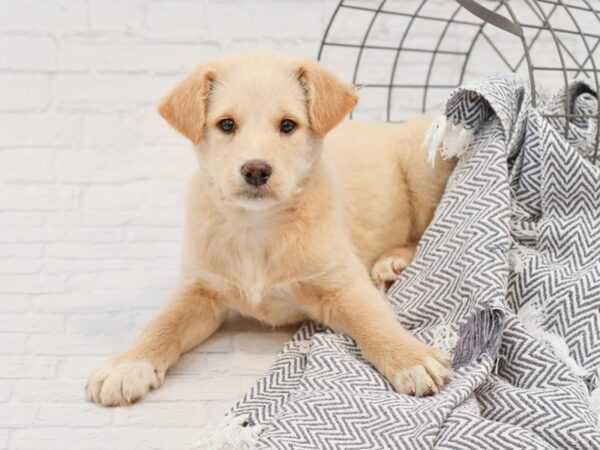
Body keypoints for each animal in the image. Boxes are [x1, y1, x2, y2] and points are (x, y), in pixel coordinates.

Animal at [85, 51, 454, 406]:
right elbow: (162, 324)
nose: (256, 170)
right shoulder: (200, 289)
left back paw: (394, 260)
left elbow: (374, 322)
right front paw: (128, 365)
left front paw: (410, 358)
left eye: (288, 125)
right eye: (227, 124)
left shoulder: (342, 283)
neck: (256, 226)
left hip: (421, 162)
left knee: (426, 228)